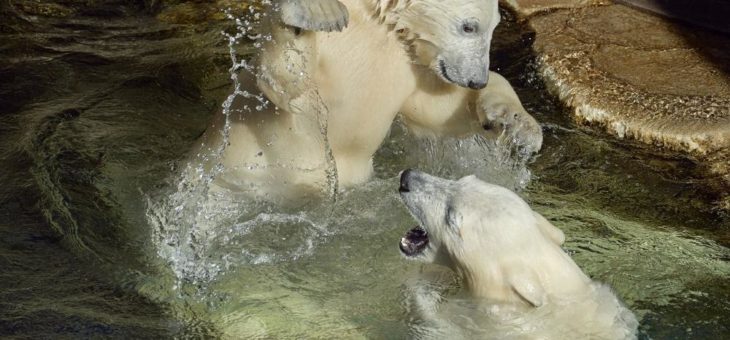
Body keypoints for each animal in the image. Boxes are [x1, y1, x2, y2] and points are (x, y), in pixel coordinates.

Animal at [193, 0, 540, 202]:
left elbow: (435, 112)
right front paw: (314, 11)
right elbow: (283, 81)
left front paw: (517, 125)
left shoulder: (405, 63)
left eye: (494, 26)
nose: (476, 79)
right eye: (469, 26)